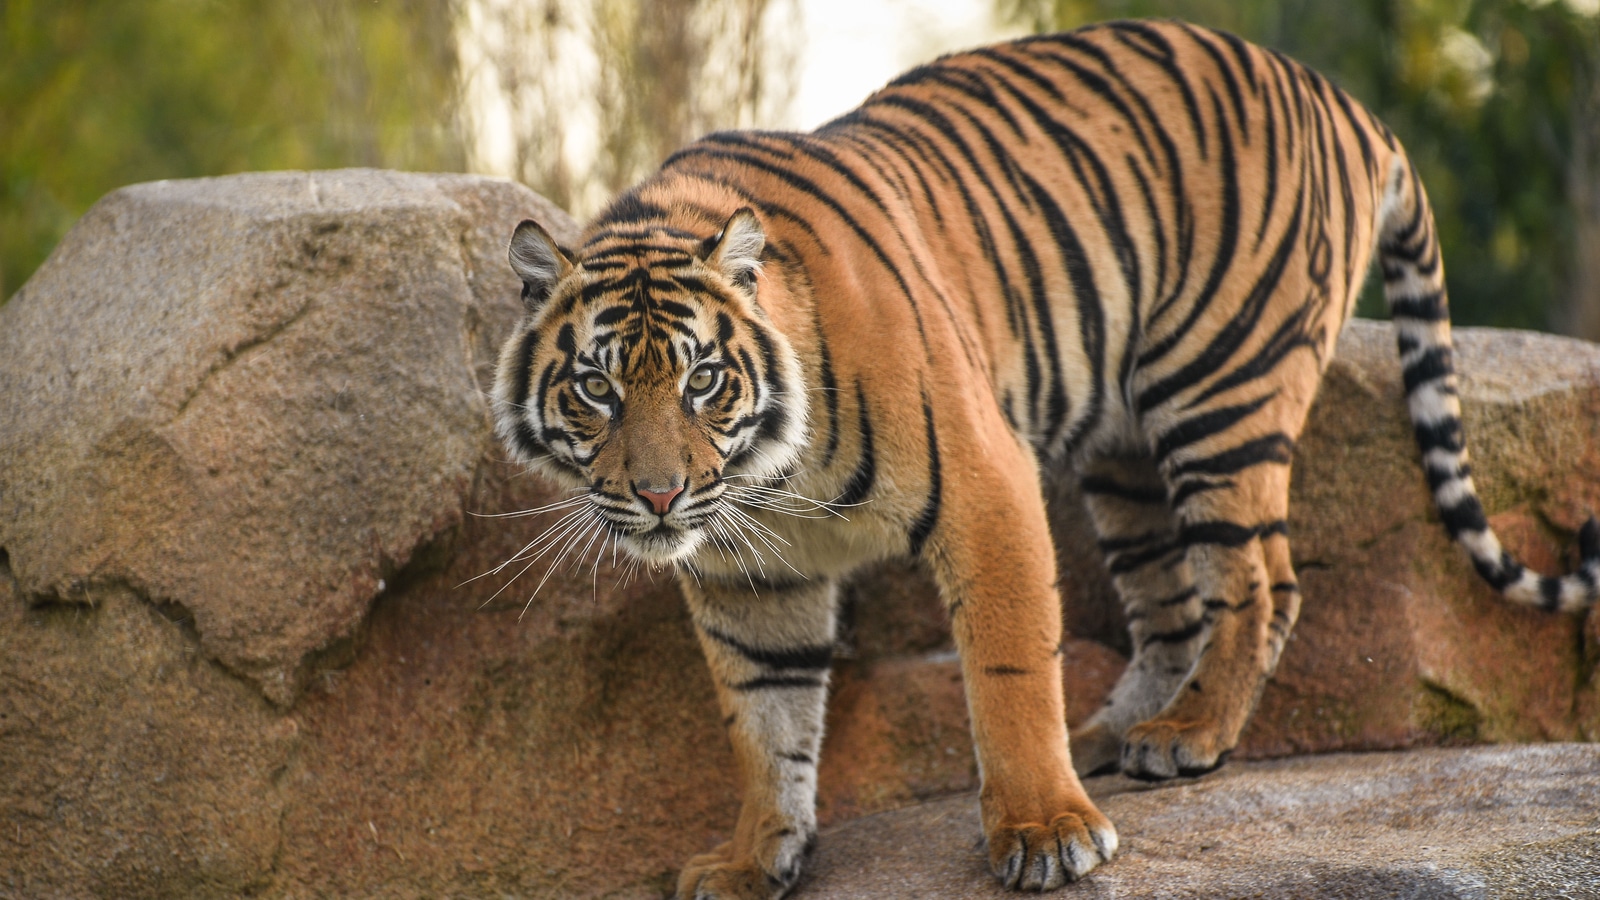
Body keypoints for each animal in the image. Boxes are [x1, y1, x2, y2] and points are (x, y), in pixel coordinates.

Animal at [490, 18, 1600, 897]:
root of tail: (1346, 104)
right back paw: (1121, 733)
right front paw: (756, 856)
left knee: (1259, 577)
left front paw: (1043, 833)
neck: (768, 484)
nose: (659, 495)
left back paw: (1189, 737)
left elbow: (1010, 668)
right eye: (596, 388)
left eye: (702, 381)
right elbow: (763, 719)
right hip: (1124, 452)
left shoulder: (986, 483)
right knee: (1172, 604)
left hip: (1219, 386)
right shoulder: (748, 577)